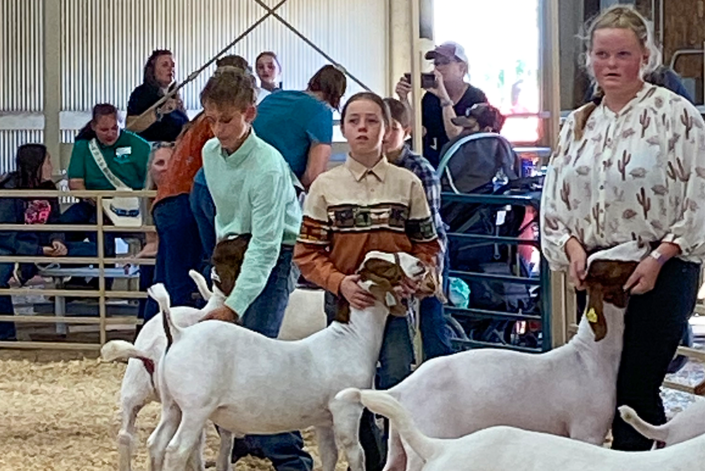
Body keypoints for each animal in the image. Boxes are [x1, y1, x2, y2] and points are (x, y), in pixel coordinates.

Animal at [146, 251, 439, 471]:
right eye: (387, 268)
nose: (420, 264)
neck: (351, 339)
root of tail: (180, 335)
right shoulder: (346, 409)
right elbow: (356, 454)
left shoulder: (324, 418)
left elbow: (330, 455)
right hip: (196, 408)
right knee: (176, 449)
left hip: (172, 405)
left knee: (156, 443)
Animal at [379, 242, 649, 471]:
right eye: (608, 266)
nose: (642, 243)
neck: (588, 357)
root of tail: (400, 390)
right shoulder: (587, 431)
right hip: (428, 435)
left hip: (397, 444)